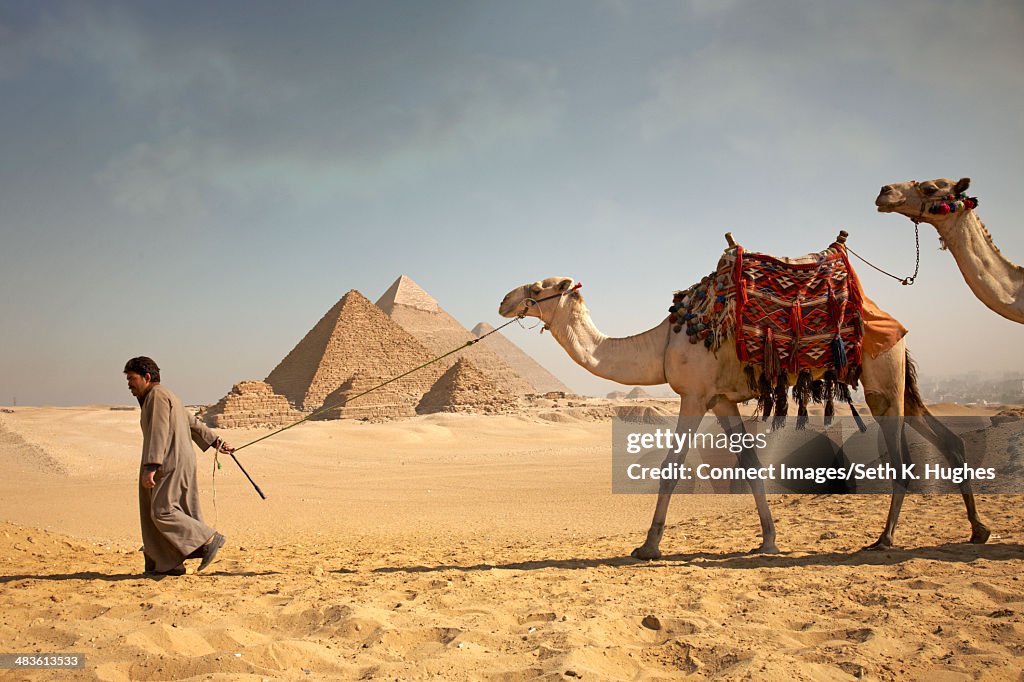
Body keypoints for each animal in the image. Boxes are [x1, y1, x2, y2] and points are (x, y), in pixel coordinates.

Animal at [499, 271, 990, 558]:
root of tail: (898, 327)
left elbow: (672, 468)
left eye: (540, 287)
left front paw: (648, 546)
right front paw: (768, 540)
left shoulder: (694, 395)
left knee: (903, 457)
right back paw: (977, 531)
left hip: (881, 381)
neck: (661, 344)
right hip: (896, 381)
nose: (504, 299)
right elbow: (751, 465)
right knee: (948, 440)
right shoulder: (722, 400)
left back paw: (885, 539)